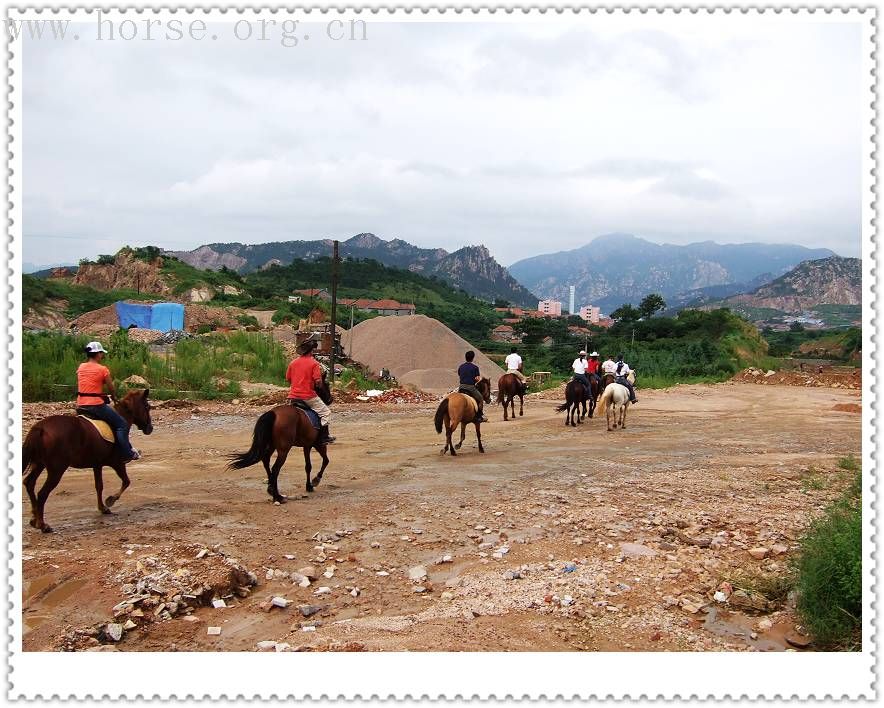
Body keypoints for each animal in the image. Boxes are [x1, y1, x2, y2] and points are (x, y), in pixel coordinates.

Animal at [22, 390, 154, 532]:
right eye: (147, 406)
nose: (150, 428)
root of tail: (41, 428)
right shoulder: (117, 463)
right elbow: (126, 481)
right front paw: (111, 500)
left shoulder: (97, 464)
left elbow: (99, 486)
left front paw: (103, 508)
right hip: (56, 469)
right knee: (42, 493)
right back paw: (42, 525)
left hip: (39, 464)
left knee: (29, 483)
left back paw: (34, 519)